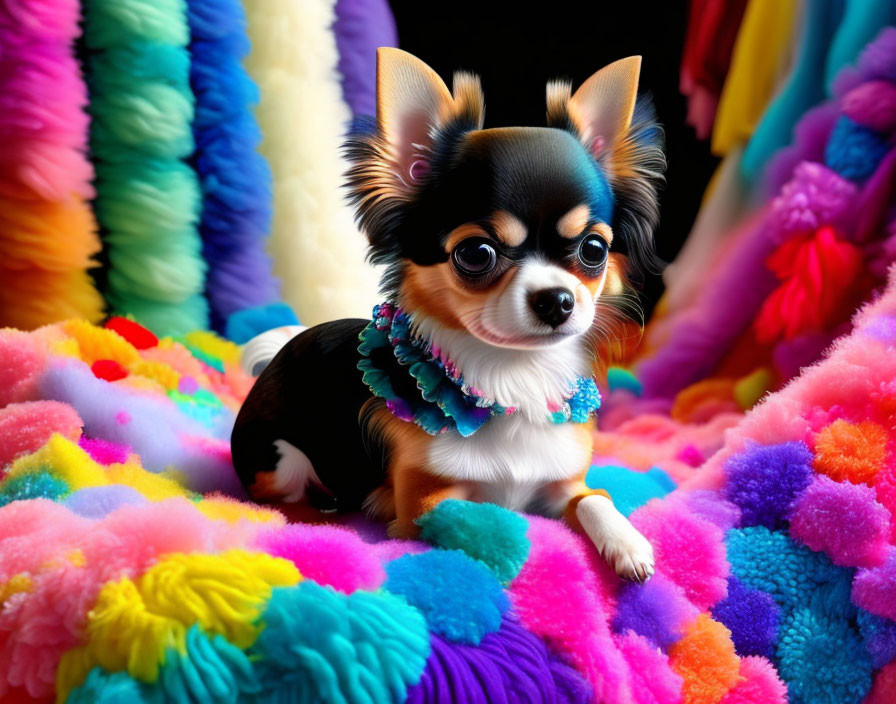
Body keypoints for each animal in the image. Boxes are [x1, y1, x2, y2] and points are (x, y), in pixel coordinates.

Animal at [231, 46, 664, 580]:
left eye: (594, 250)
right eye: (476, 254)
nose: (558, 300)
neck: (512, 375)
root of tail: (283, 350)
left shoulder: (566, 485)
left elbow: (596, 500)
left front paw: (629, 544)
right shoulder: (423, 503)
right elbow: (472, 516)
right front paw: (508, 543)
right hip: (282, 463)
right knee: (283, 496)